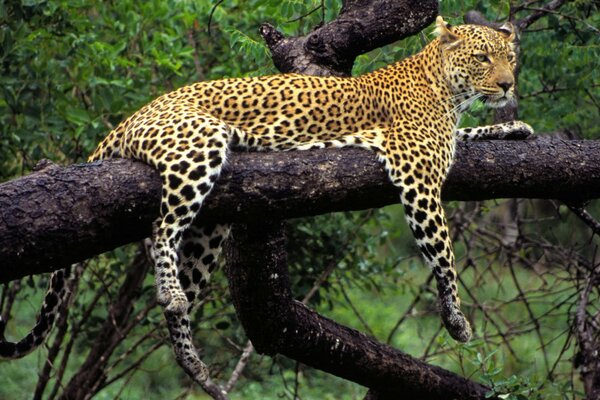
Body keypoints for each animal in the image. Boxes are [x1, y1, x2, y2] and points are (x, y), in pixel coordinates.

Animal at [1, 16, 536, 390]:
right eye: (483, 58)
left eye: (510, 58)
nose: (507, 85)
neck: (445, 87)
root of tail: (130, 116)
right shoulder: (417, 172)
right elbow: (444, 253)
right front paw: (456, 318)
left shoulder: (440, 143)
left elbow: (471, 135)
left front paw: (515, 127)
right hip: (200, 146)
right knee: (161, 229)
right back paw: (170, 293)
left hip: (211, 226)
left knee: (182, 280)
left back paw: (191, 361)